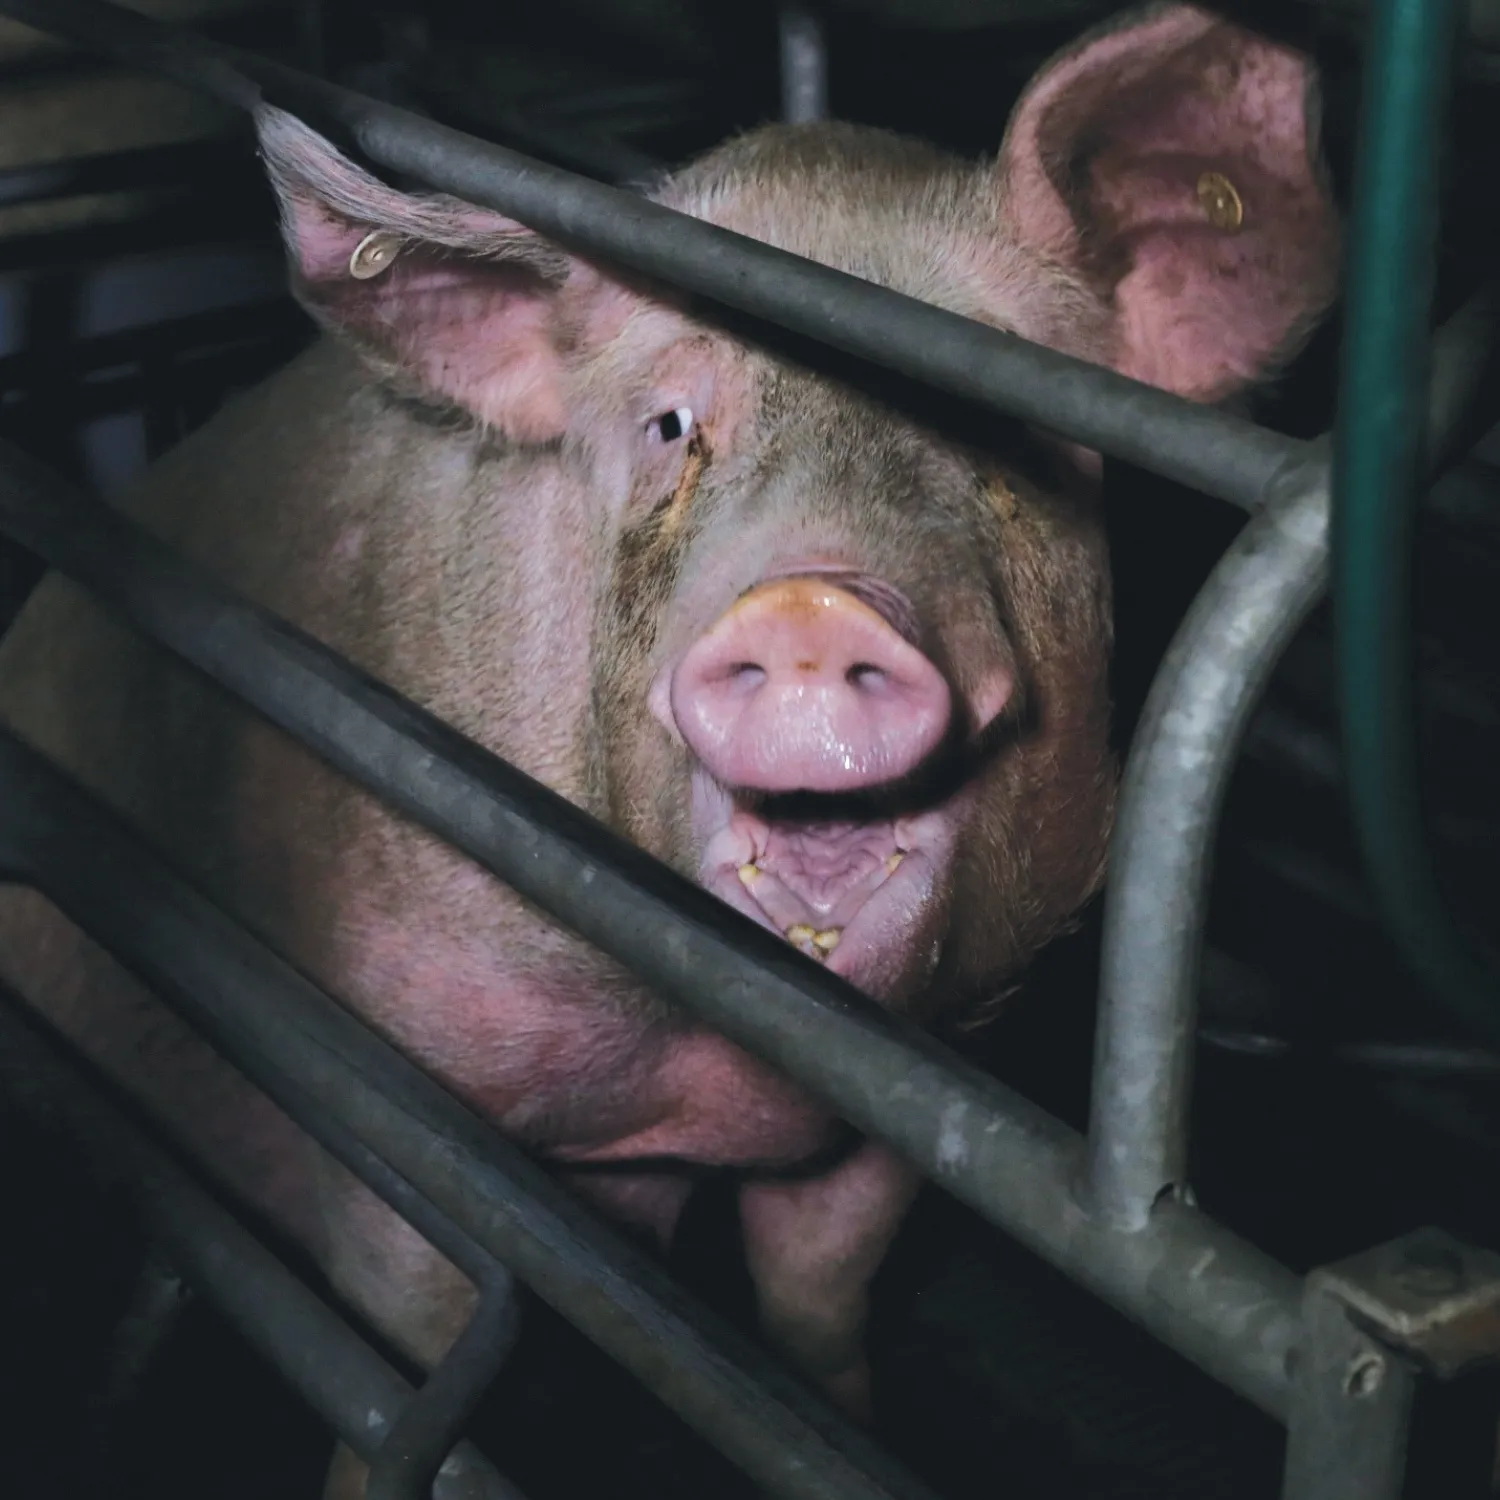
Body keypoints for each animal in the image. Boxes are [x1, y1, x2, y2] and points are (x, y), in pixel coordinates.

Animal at [0, 4, 1339, 1494]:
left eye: (1006, 430)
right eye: (669, 426)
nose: (813, 607)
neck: (693, 1067)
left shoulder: (904, 1097)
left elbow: (819, 1302)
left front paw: (842, 1423)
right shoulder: (383, 1081)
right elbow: (411, 1339)